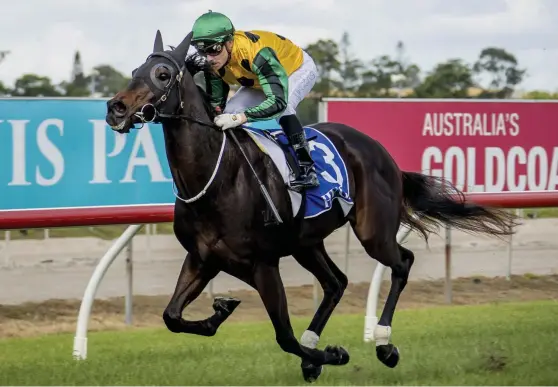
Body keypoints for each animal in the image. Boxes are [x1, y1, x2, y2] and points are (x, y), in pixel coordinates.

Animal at [106, 29, 520, 382]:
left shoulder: (263, 265)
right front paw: (219, 312)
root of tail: (381, 152)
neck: (217, 177)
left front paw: (334, 354)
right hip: (306, 242)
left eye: (162, 74)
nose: (116, 108)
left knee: (401, 263)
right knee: (336, 282)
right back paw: (318, 345)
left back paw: (383, 343)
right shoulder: (202, 259)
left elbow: (283, 336)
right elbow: (171, 316)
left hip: (372, 230)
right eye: (135, 71)